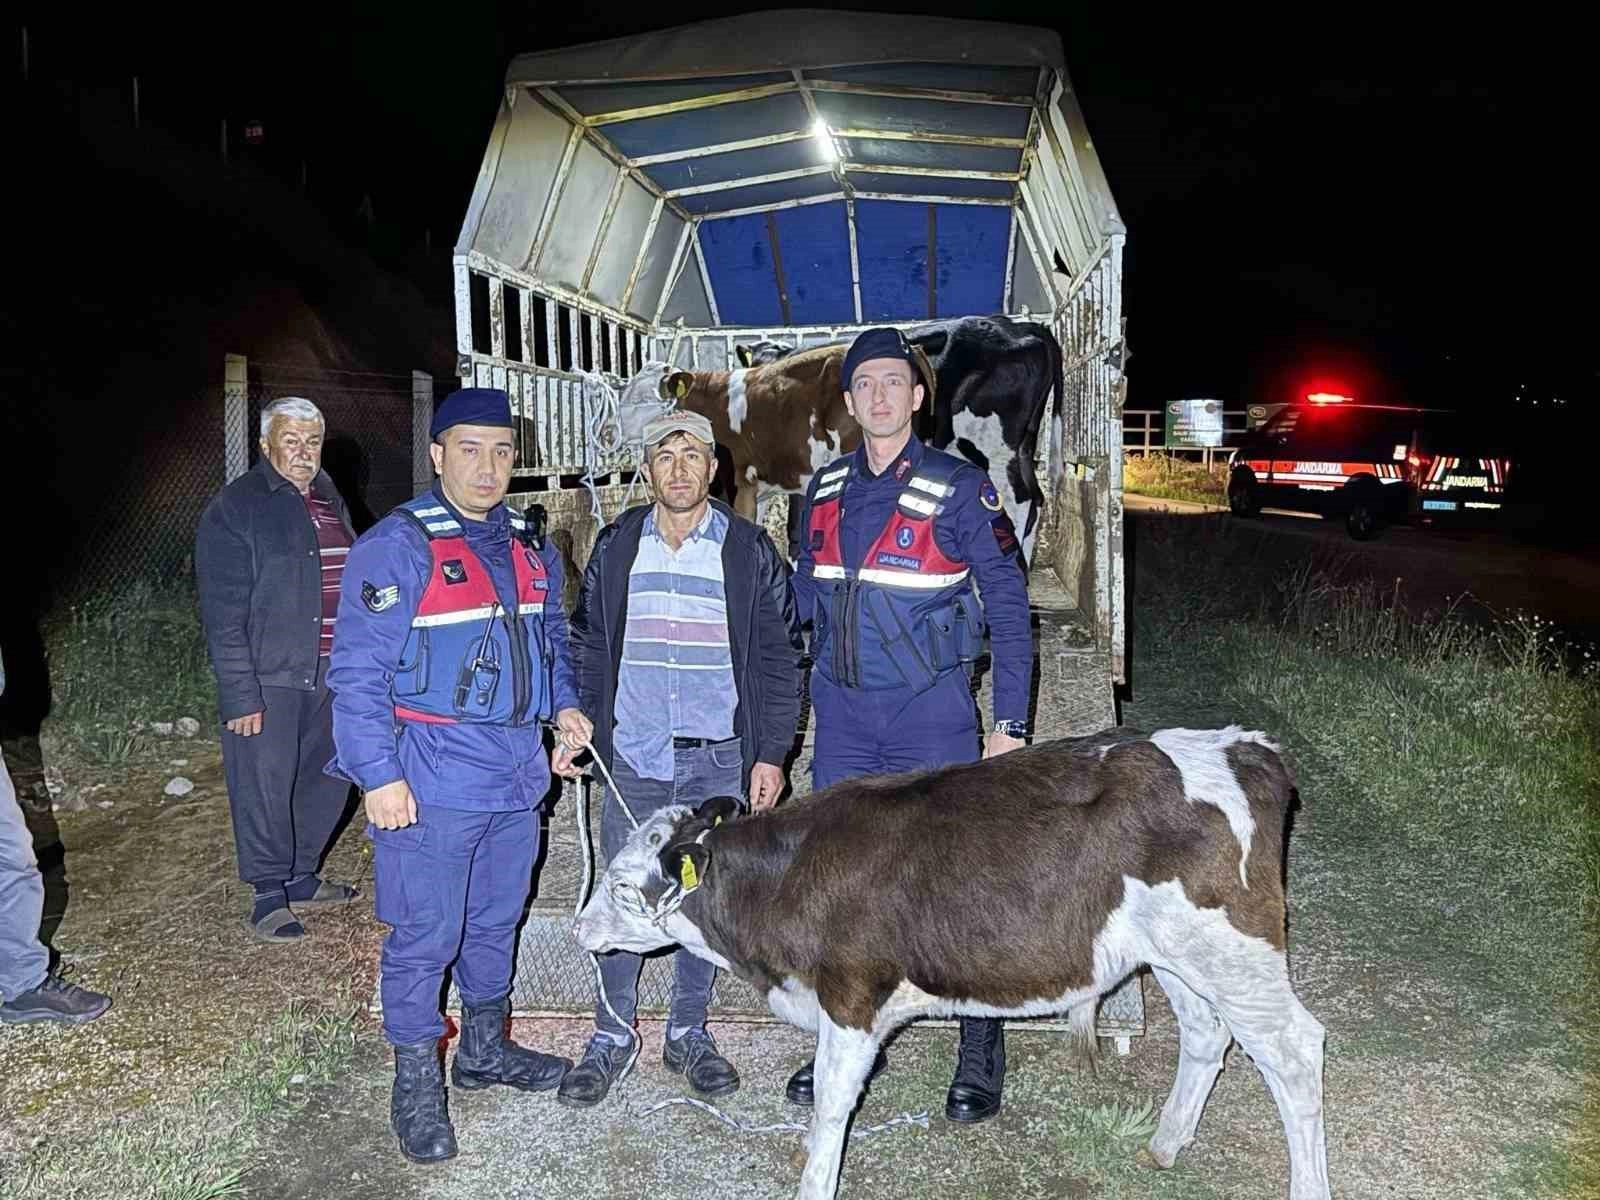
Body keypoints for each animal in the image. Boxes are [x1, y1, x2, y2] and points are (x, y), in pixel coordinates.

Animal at [575, 727, 1329, 1200]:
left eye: (622, 884)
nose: (581, 927)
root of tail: (1245, 747)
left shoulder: (851, 994)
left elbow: (831, 1104)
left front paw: (815, 1179)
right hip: (1177, 953)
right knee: (1206, 1034)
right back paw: (1166, 1144)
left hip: (1234, 946)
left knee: (1294, 1049)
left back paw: (1307, 1184)